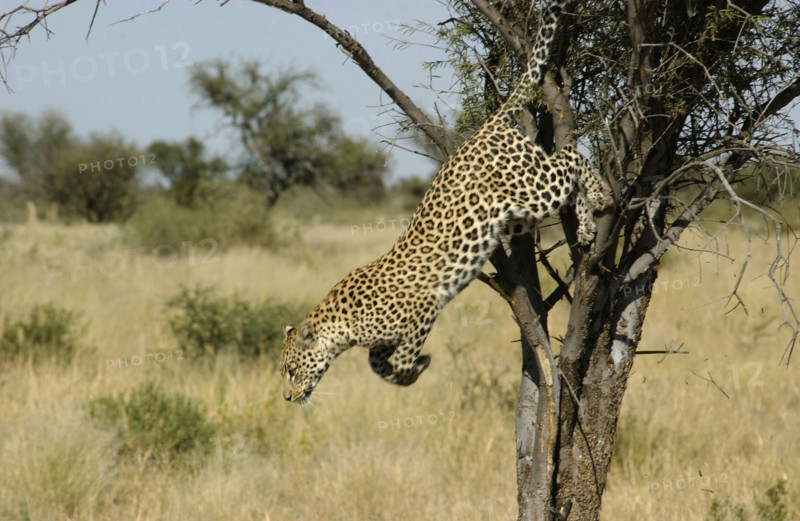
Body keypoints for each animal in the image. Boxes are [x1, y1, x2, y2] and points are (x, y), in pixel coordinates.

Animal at [280, 0, 612, 404]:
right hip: (518, 211)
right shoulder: (381, 343)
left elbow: (400, 357)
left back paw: (600, 194)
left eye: (291, 370)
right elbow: (378, 365)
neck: (342, 327)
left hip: (535, 189)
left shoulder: (423, 307)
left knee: (572, 158)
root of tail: (485, 127)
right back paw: (586, 226)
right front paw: (407, 373)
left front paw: (415, 366)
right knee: (567, 174)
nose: (286, 397)